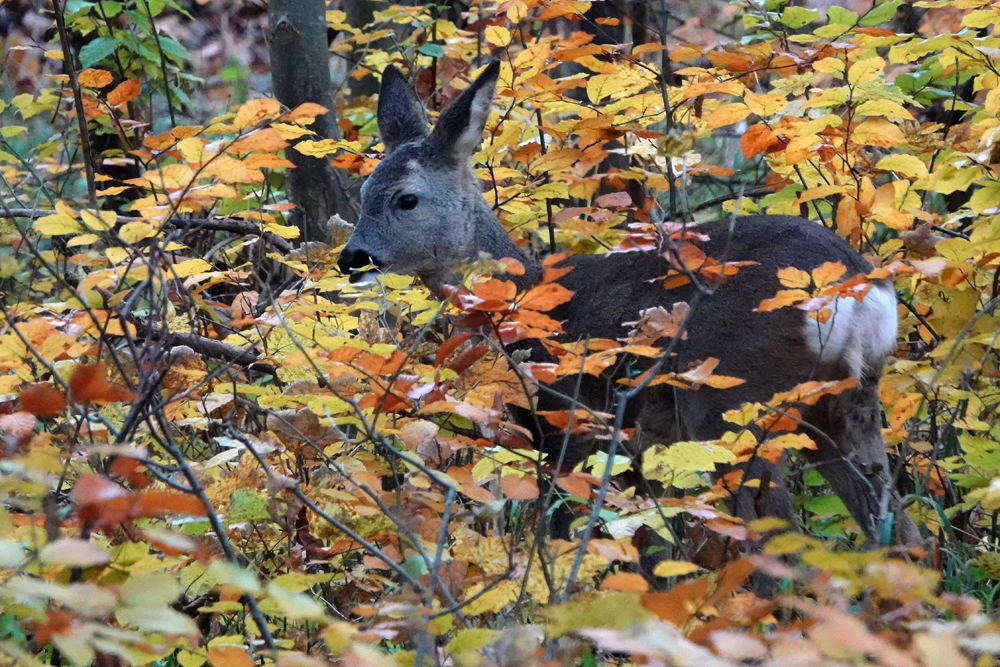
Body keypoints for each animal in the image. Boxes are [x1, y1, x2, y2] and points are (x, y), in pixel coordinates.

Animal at [338, 58, 920, 548]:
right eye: (362, 193)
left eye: (406, 199)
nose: (352, 257)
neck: (524, 300)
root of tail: (856, 289)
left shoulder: (565, 420)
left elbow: (561, 532)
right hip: (845, 406)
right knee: (900, 528)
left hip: (734, 399)